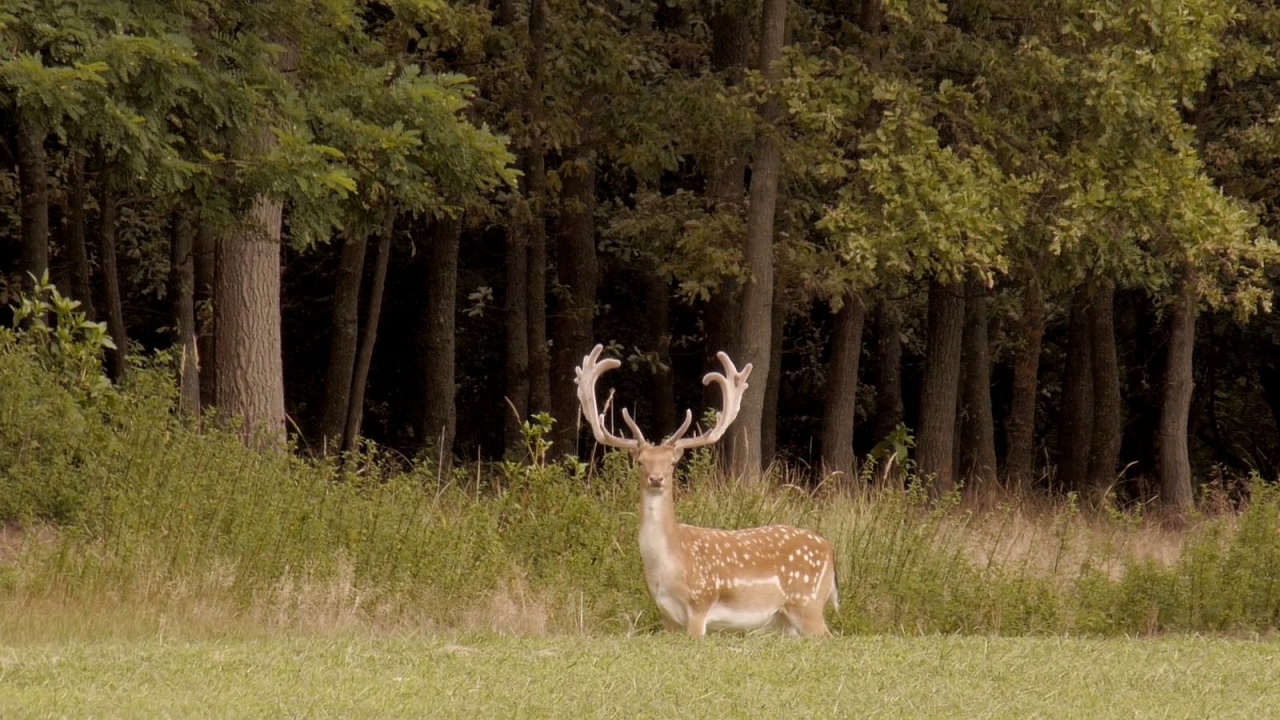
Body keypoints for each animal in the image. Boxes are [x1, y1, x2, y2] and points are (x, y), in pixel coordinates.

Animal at [578, 345, 839, 635]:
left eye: (672, 463)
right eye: (640, 462)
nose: (656, 479)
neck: (669, 567)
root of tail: (830, 550)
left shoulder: (700, 602)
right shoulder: (667, 616)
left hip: (808, 603)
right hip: (787, 620)